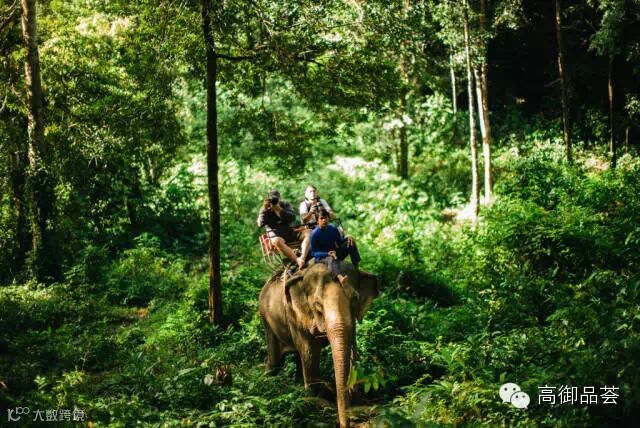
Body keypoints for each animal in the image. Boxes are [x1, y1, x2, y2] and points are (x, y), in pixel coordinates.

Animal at [258, 261, 379, 428]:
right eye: (318, 304)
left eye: (354, 299)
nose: (345, 423)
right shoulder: (296, 315)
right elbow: (310, 352)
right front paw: (315, 403)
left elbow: (352, 348)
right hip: (267, 318)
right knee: (276, 361)